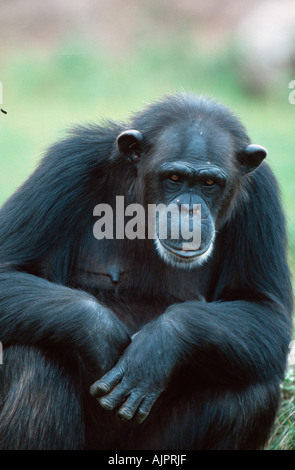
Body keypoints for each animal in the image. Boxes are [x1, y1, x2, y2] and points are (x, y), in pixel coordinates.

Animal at [0, 93, 292, 450]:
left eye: (210, 183)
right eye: (174, 178)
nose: (189, 209)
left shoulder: (262, 197)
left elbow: (265, 309)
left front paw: (158, 347)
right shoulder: (67, 165)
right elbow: (8, 268)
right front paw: (103, 336)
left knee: (251, 389)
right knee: (35, 358)